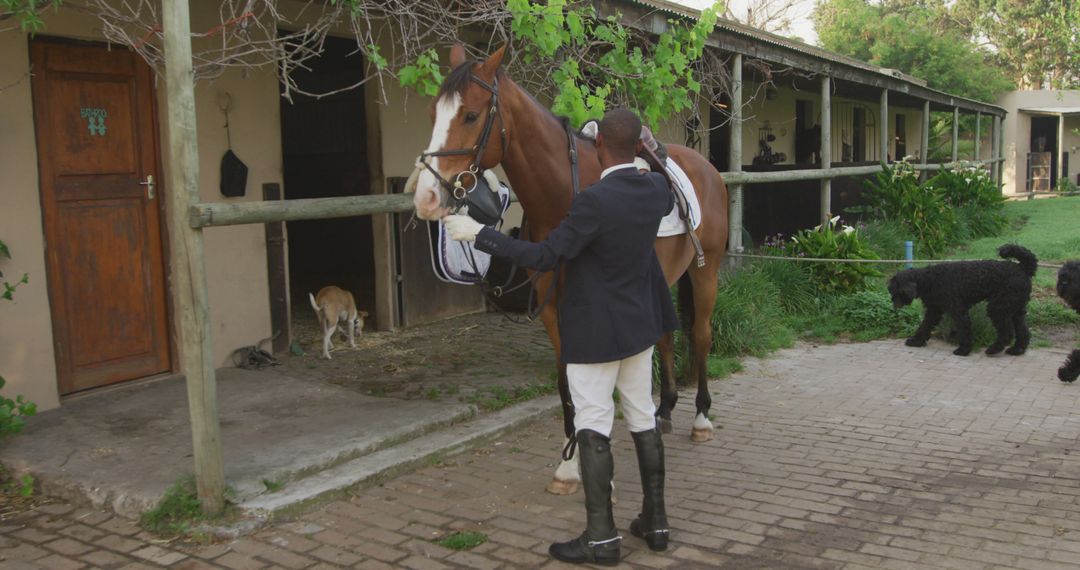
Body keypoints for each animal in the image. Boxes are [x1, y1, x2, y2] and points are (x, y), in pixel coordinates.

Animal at [408, 45, 730, 494]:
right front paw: (568, 464)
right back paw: (663, 411)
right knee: (666, 336)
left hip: (706, 272)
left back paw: (701, 418)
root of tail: (705, 166)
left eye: (470, 115)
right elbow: (566, 383)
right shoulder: (552, 309)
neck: (565, 192)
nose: (427, 197)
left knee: (700, 335)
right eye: (432, 113)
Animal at [885, 243, 1036, 356]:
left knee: (1007, 333)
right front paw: (916, 341)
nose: (894, 305)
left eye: (898, 292)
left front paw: (964, 350)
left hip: (998, 308)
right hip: (1016, 310)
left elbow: (964, 327)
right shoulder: (934, 310)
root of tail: (1022, 268)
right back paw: (1017, 350)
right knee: (1023, 332)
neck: (929, 280)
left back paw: (994, 349)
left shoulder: (958, 310)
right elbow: (925, 325)